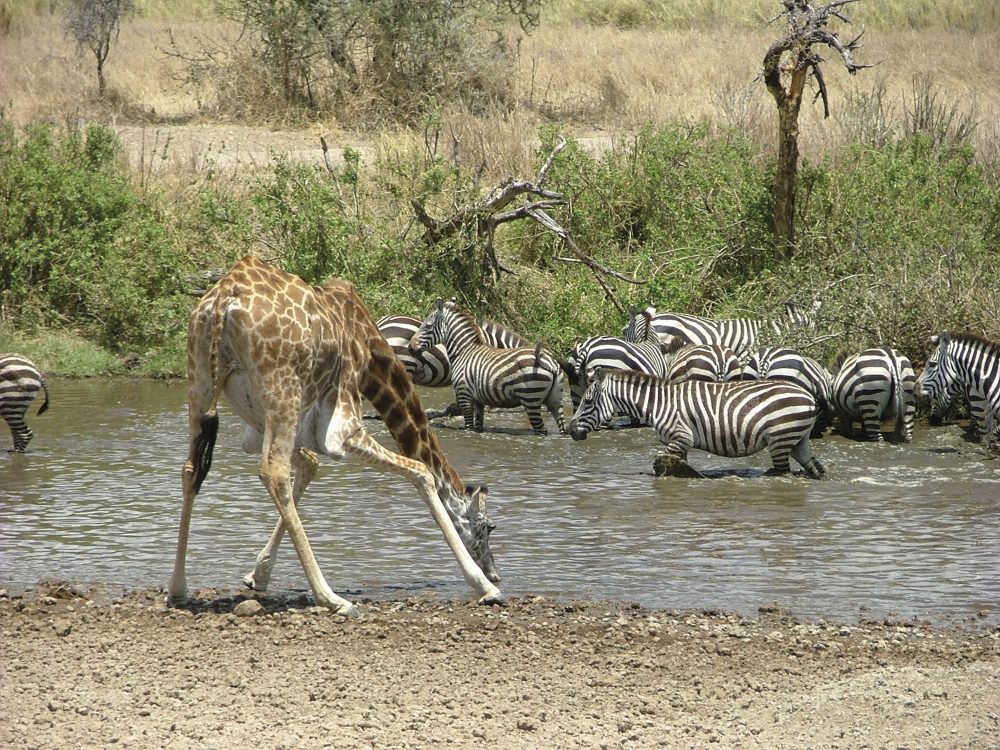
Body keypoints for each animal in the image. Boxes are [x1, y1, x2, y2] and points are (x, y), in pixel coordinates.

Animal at [169, 258, 508, 616]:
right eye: (487, 527)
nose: (495, 572)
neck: (371, 357)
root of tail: (224, 300)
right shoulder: (343, 430)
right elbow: (422, 471)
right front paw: (485, 588)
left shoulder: (266, 428)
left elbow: (309, 466)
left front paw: (257, 575)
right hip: (282, 390)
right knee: (274, 472)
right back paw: (332, 598)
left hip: (201, 383)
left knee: (191, 469)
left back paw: (178, 589)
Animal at [406, 300, 564, 438]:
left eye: (427, 326)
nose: (410, 348)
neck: (464, 351)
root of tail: (551, 362)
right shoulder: (478, 400)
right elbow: (478, 426)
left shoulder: (464, 394)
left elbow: (469, 426)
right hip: (555, 401)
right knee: (562, 428)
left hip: (531, 399)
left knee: (541, 430)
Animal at [568, 370, 824, 482]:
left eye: (587, 402)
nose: (571, 431)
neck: (658, 404)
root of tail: (809, 397)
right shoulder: (680, 444)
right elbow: (676, 465)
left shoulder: (681, 437)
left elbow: (661, 465)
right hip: (797, 440)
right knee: (815, 468)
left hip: (780, 440)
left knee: (782, 472)